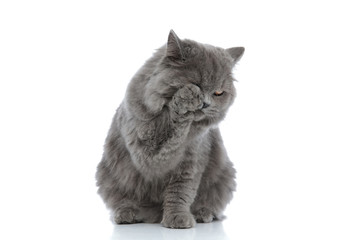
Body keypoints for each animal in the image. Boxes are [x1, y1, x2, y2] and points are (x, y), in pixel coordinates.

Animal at [95, 30, 245, 229]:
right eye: (196, 84)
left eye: (219, 93)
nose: (205, 104)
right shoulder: (144, 148)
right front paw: (184, 99)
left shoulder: (191, 161)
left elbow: (180, 193)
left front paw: (178, 218)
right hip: (108, 176)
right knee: (125, 200)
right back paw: (127, 214)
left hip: (225, 177)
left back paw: (203, 214)